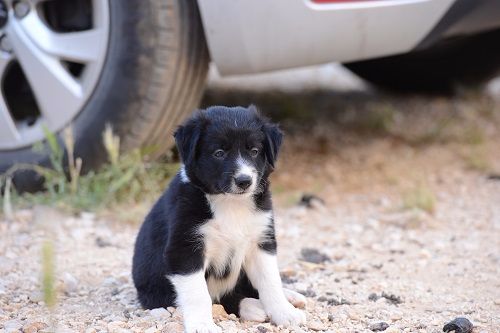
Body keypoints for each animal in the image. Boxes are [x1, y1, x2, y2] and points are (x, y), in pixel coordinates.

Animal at [132, 105, 304, 330]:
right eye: (219, 153)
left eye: (254, 151)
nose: (244, 181)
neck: (230, 203)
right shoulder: (185, 249)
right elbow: (198, 294)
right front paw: (202, 324)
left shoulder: (261, 240)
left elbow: (270, 281)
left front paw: (284, 313)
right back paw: (252, 307)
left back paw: (289, 297)